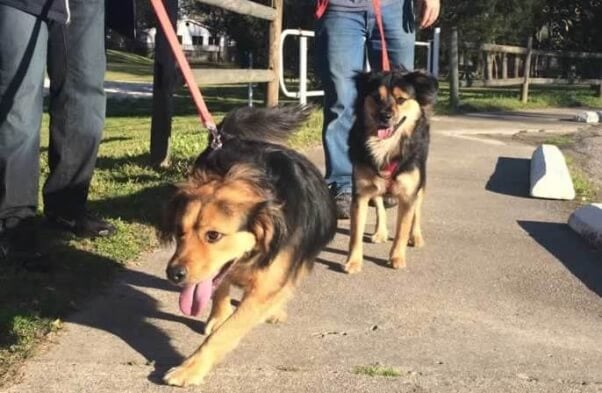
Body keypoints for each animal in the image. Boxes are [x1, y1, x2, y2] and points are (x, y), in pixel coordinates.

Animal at [159, 105, 338, 386]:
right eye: (179, 231)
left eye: (213, 235)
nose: (173, 274)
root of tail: (226, 137)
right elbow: (219, 291)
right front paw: (217, 317)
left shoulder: (264, 287)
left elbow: (225, 333)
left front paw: (190, 368)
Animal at [342, 69, 436, 272]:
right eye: (377, 98)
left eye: (401, 99)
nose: (385, 116)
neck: (385, 146)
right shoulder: (361, 192)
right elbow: (355, 234)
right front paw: (353, 261)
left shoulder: (409, 193)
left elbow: (402, 229)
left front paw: (397, 258)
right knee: (379, 203)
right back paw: (380, 232)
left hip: (421, 180)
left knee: (417, 210)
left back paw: (416, 236)